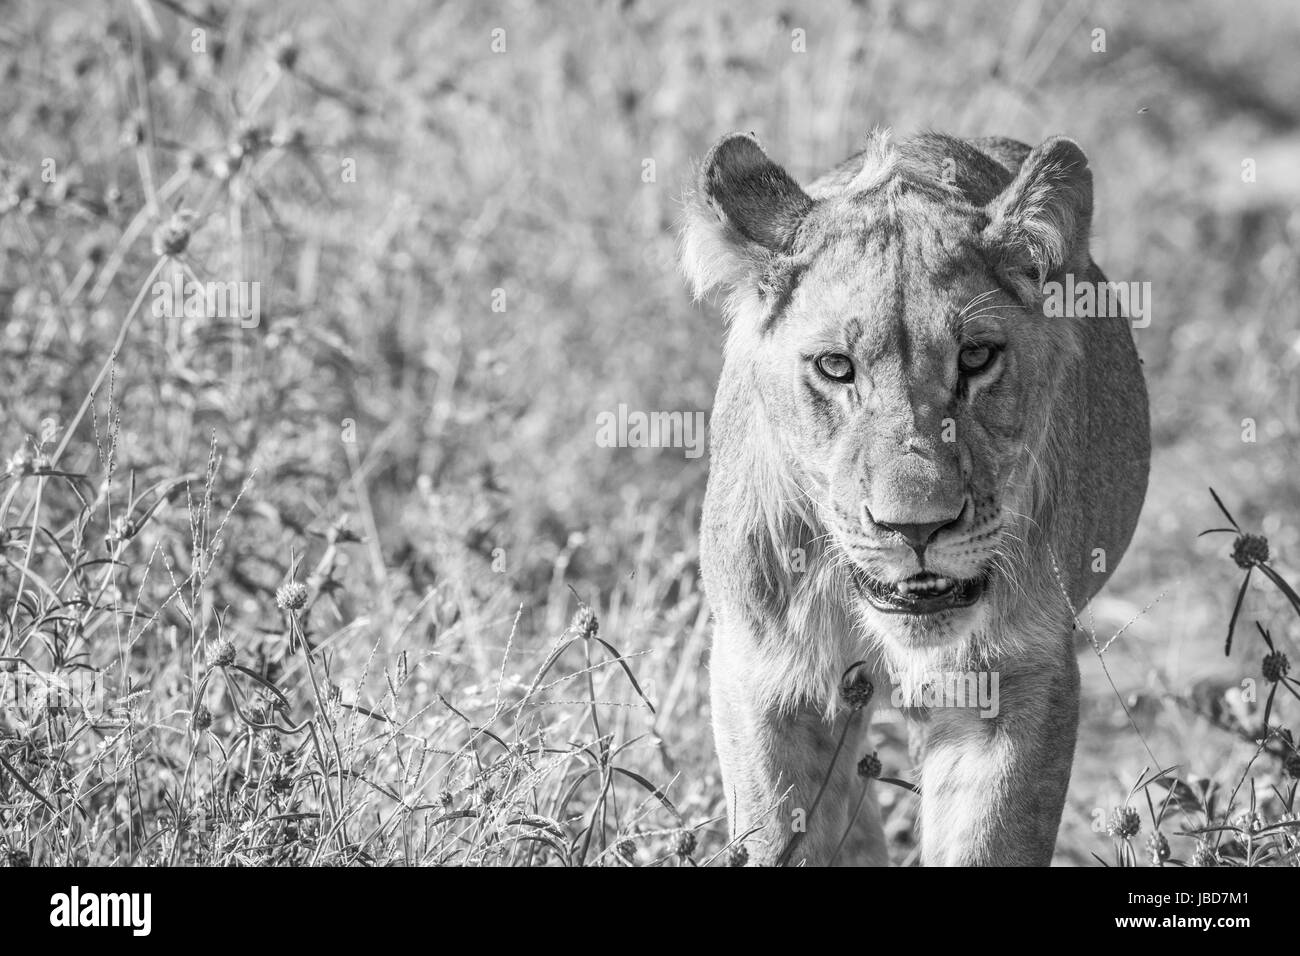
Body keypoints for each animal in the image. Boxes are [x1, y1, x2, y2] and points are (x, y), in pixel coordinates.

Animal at [681, 128, 1149, 868]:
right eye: (834, 367)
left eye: (977, 358)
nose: (917, 529)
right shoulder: (762, 676)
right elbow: (781, 831)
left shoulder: (1020, 675)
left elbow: (990, 840)